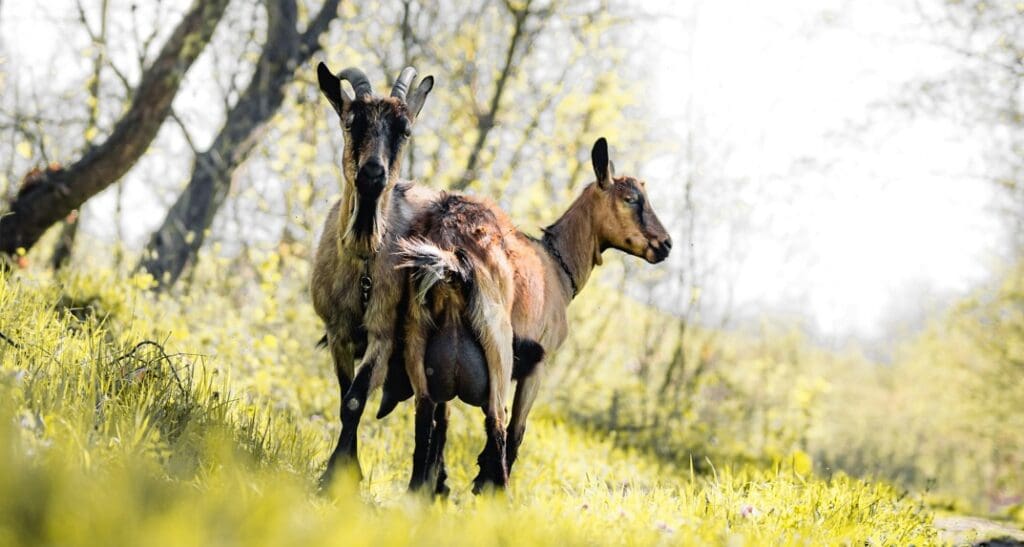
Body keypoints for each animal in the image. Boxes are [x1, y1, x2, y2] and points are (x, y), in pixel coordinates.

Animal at [313, 62, 438, 487]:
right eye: (351, 122)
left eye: (406, 131)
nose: (372, 173)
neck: (365, 256)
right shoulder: (337, 331)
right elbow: (343, 397)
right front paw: (344, 470)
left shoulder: (382, 333)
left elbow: (355, 399)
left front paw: (338, 477)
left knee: (430, 410)